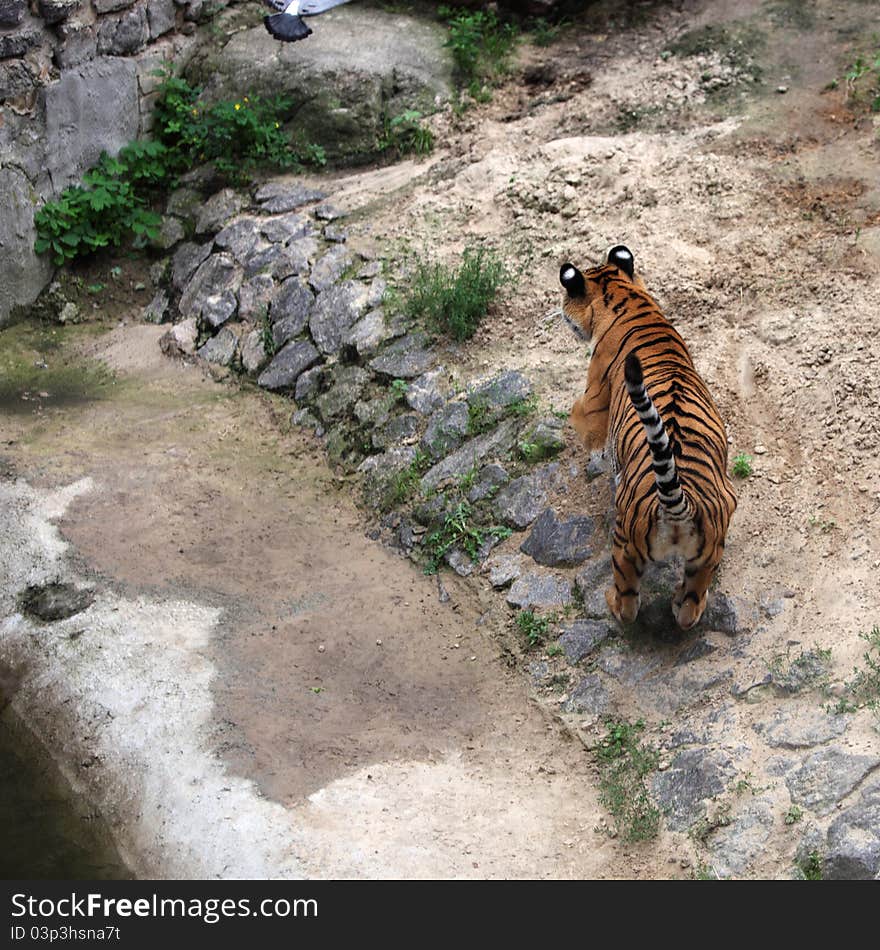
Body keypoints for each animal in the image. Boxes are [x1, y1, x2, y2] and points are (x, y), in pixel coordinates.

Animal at [560, 245, 740, 632]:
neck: (625, 296)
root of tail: (680, 504)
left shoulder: (594, 398)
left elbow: (581, 419)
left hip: (625, 544)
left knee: (629, 600)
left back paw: (612, 604)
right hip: (710, 548)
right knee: (690, 607)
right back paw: (682, 605)